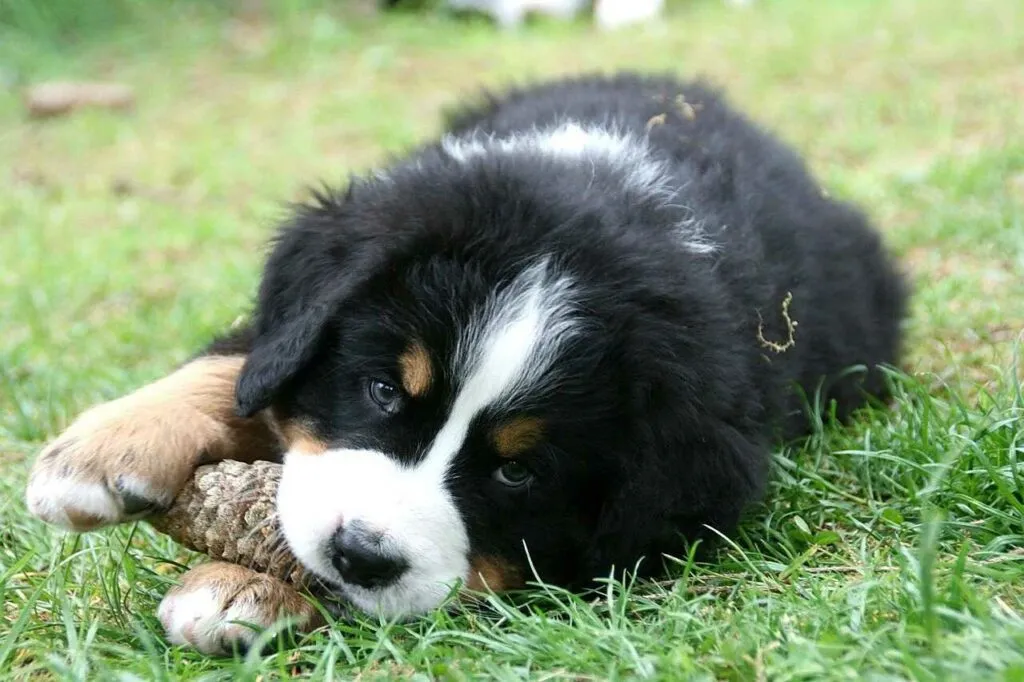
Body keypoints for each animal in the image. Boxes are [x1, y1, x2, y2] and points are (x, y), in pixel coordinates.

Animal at [24, 71, 905, 651]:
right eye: (383, 390)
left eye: (519, 473)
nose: (361, 555)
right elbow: (237, 367)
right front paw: (97, 455)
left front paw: (241, 587)